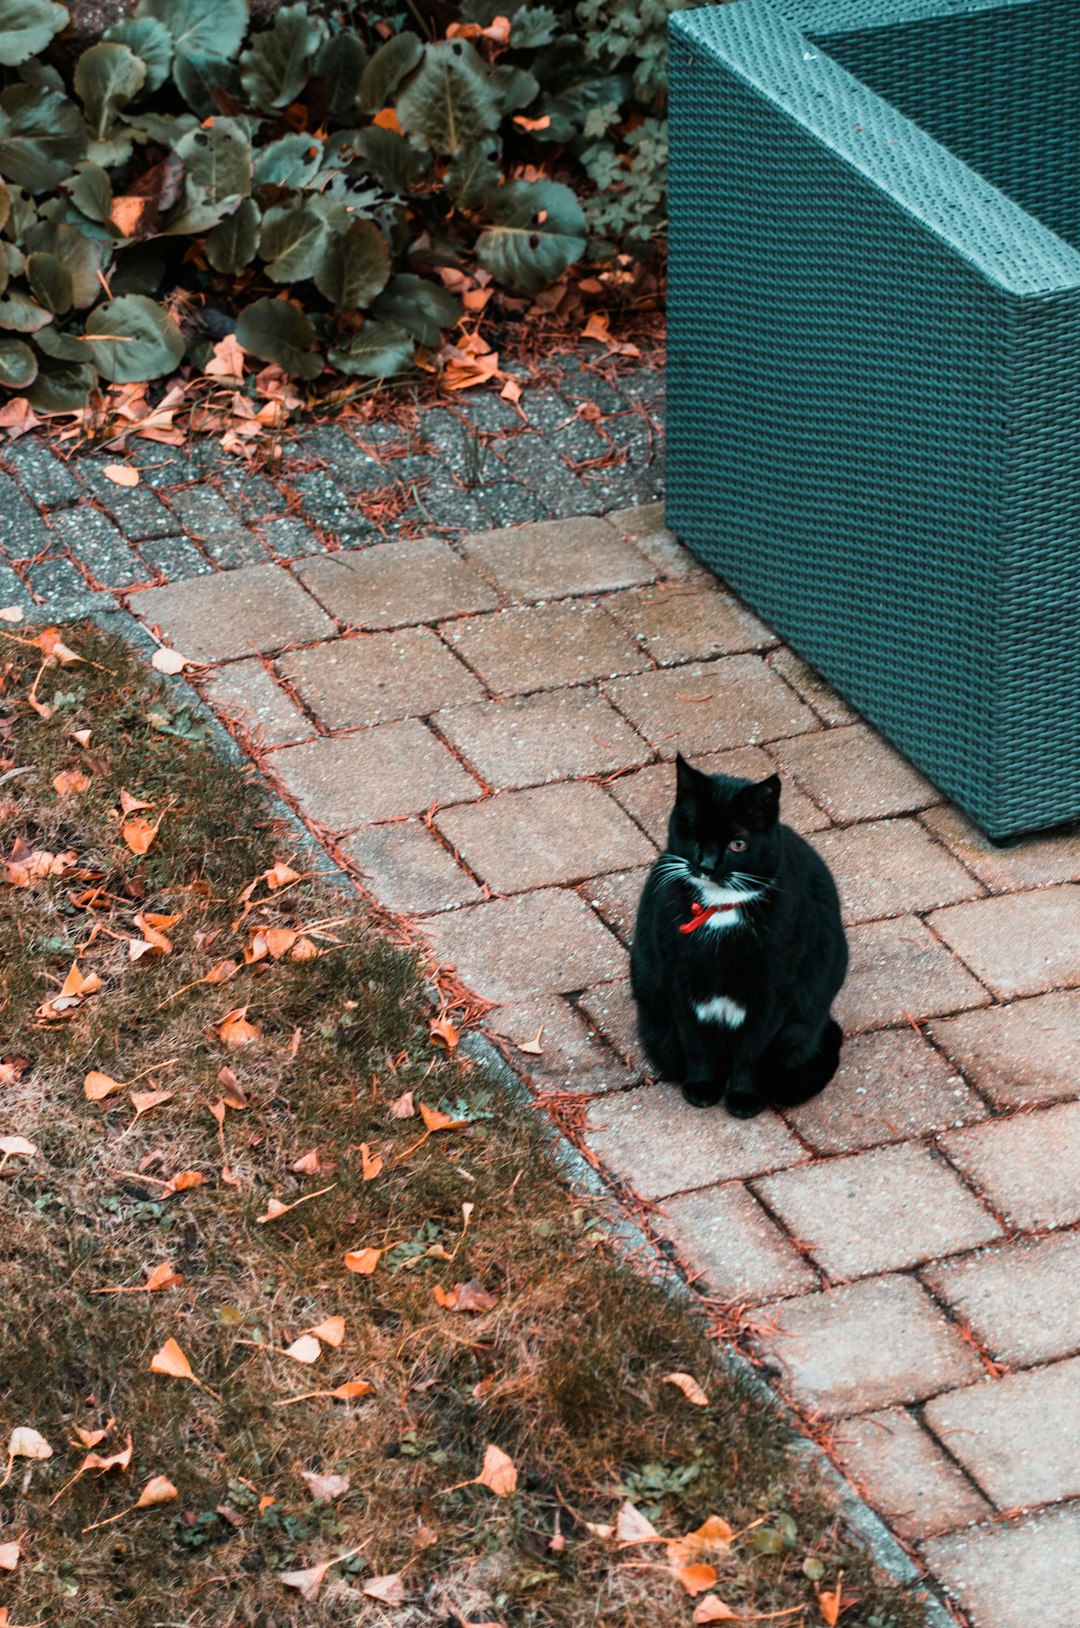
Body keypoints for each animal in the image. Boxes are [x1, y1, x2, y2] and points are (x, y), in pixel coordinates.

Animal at [628, 752, 847, 1120]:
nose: (706, 863)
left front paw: (744, 1096)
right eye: (693, 834)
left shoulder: (775, 991)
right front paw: (702, 1086)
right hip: (654, 1016)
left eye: (738, 844)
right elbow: (695, 1041)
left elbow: (751, 1050)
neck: (720, 909)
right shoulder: (677, 979)